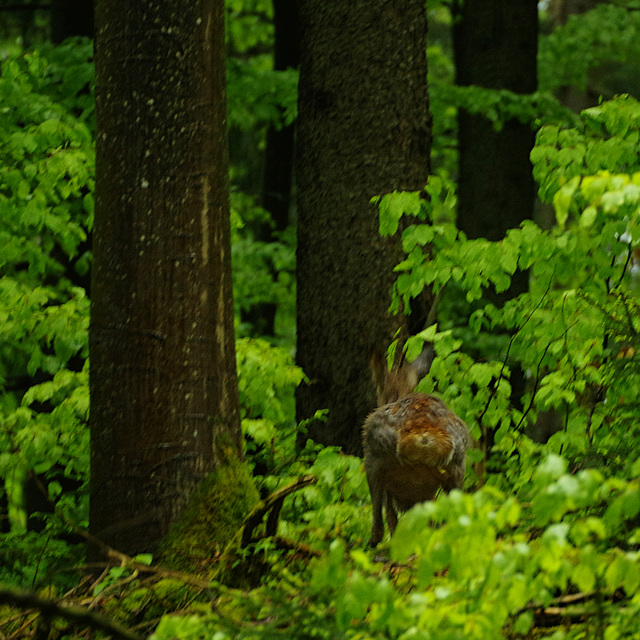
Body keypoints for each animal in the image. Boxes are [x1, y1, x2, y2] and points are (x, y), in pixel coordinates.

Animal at [360, 348, 470, 548]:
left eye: (380, 389)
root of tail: (424, 434)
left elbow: (390, 517)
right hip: (458, 465)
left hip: (373, 458)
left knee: (381, 523)